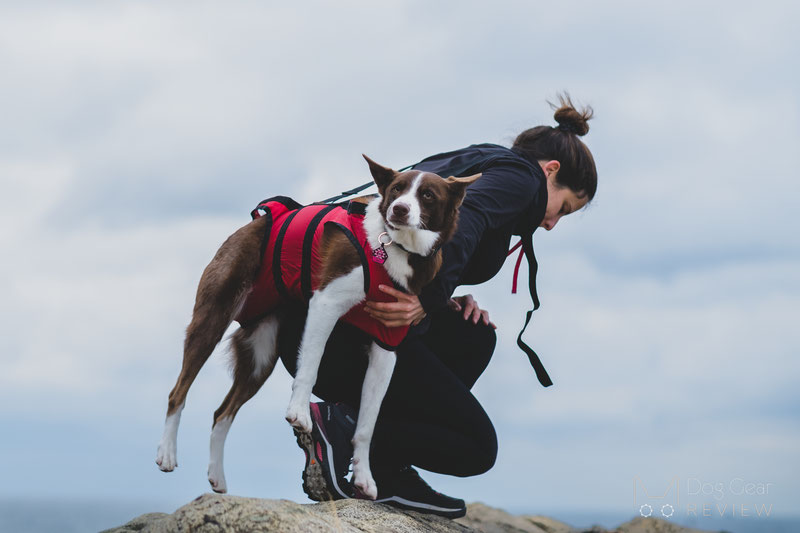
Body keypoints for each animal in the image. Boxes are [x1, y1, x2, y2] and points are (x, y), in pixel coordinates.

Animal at [157, 154, 482, 498]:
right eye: (396, 189)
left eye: (428, 195)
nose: (399, 209)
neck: (395, 247)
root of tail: (254, 223)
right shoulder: (326, 303)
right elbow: (310, 366)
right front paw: (299, 413)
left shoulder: (387, 344)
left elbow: (369, 420)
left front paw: (364, 477)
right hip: (213, 315)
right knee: (178, 391)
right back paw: (167, 453)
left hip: (261, 355)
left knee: (222, 412)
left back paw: (217, 476)